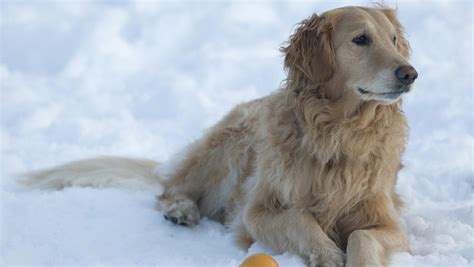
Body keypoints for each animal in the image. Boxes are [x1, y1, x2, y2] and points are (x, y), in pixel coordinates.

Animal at [20, 5, 416, 266]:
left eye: (394, 39)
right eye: (360, 39)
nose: (410, 73)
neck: (340, 131)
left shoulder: (390, 222)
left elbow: (362, 236)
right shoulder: (256, 214)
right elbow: (299, 220)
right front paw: (329, 255)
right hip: (232, 146)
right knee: (169, 191)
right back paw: (180, 210)